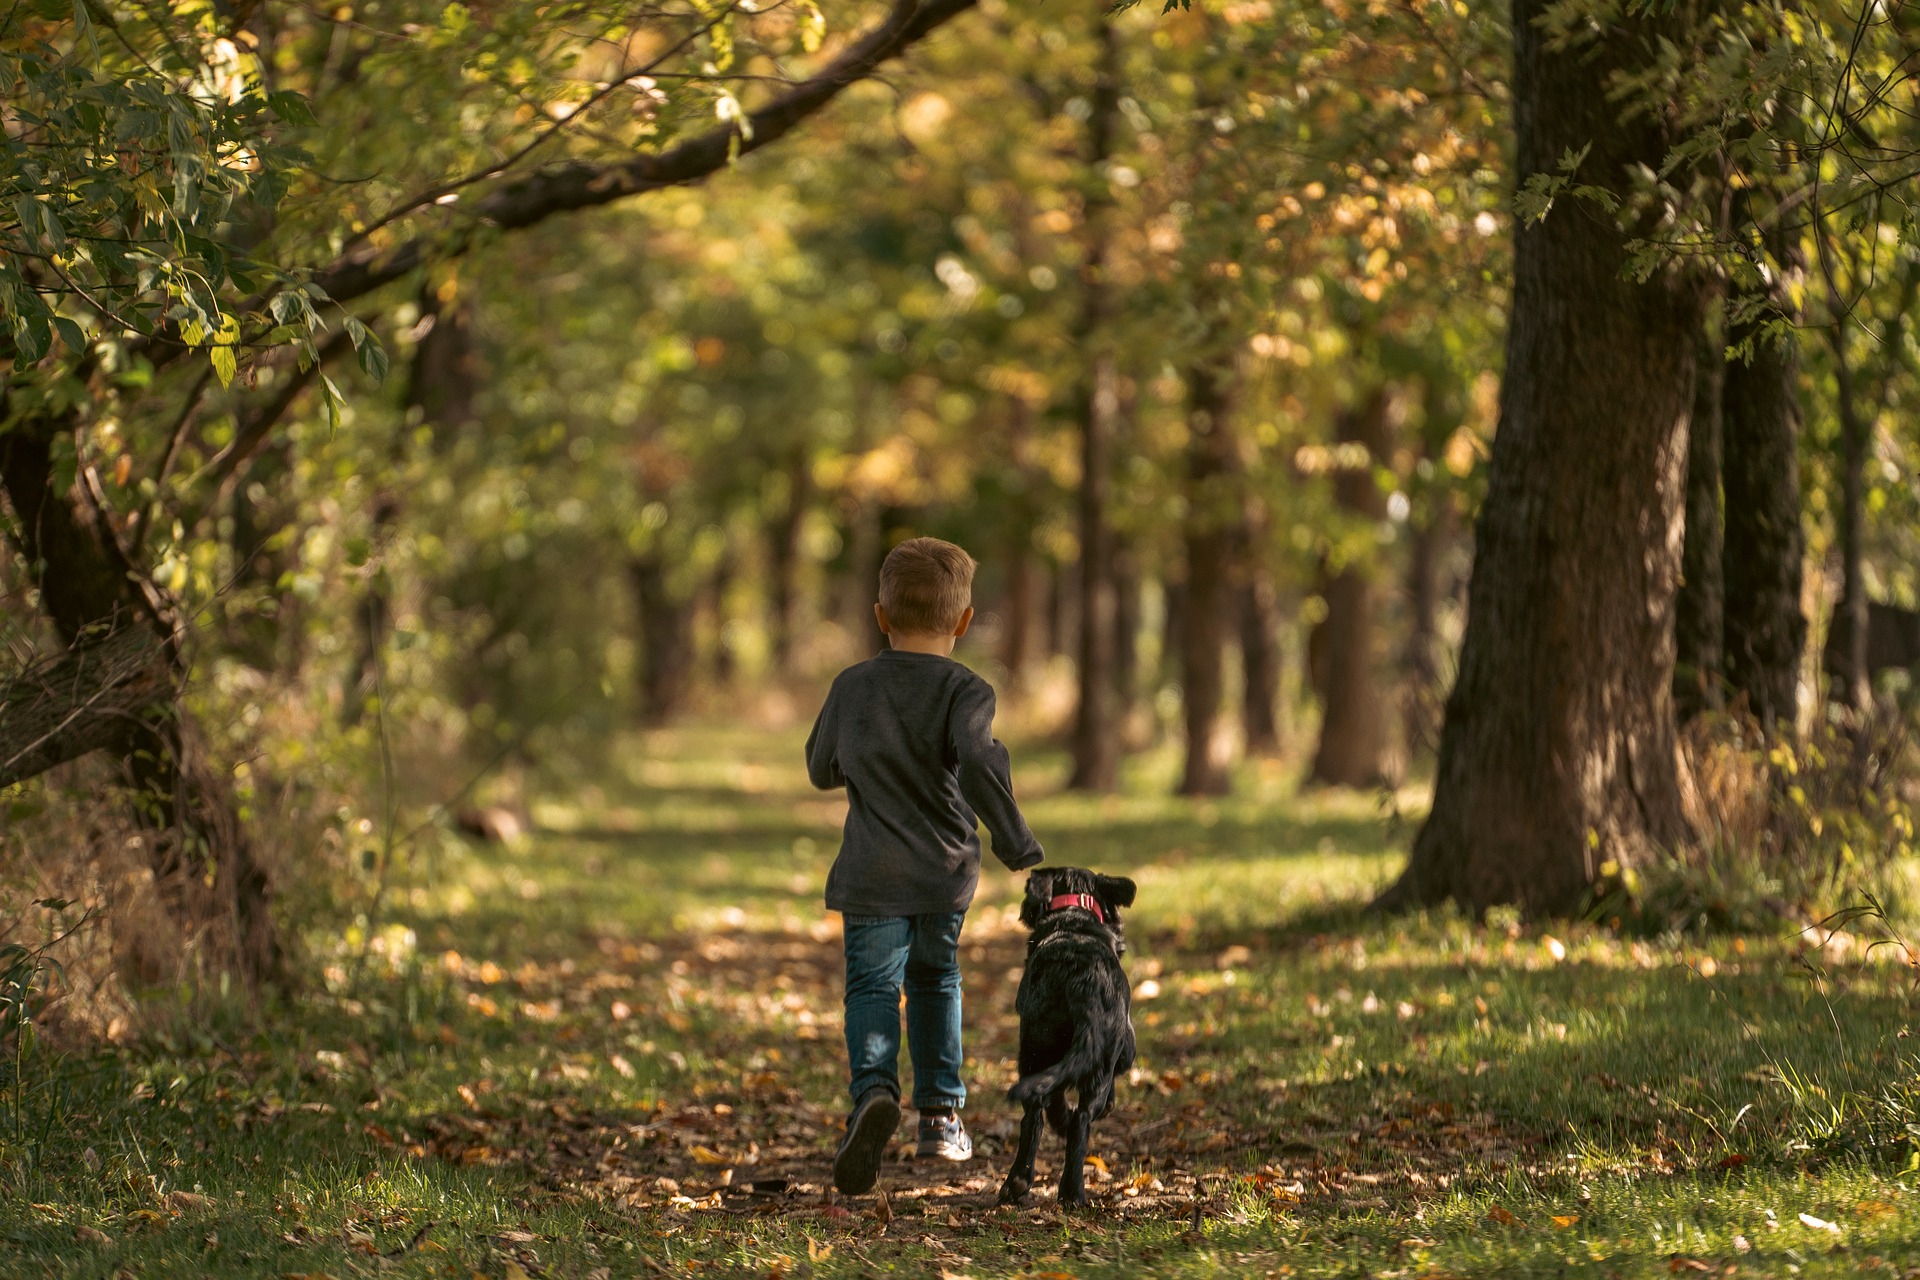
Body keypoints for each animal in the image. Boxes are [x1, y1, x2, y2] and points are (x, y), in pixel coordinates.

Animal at [998, 867, 1128, 1205]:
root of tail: (1081, 982)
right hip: (1097, 1062)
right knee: (1081, 1120)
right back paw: (1072, 1191)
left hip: (1034, 1049)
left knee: (1035, 1113)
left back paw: (1018, 1183)